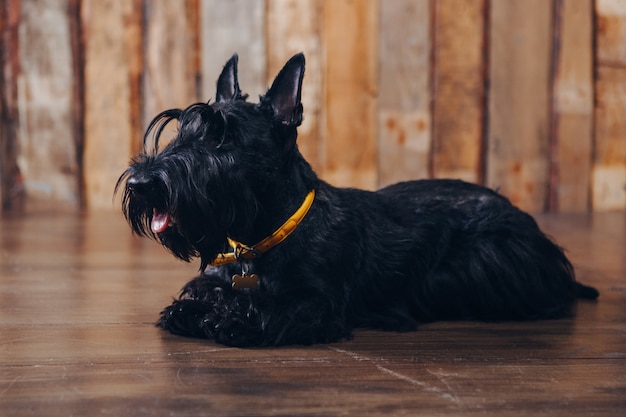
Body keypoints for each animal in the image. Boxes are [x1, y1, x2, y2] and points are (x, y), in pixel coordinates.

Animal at [114, 52, 596, 344]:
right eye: (182, 133)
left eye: (224, 141)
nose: (141, 184)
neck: (261, 238)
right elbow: (201, 294)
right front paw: (196, 310)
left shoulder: (315, 305)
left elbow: (268, 310)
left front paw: (230, 318)